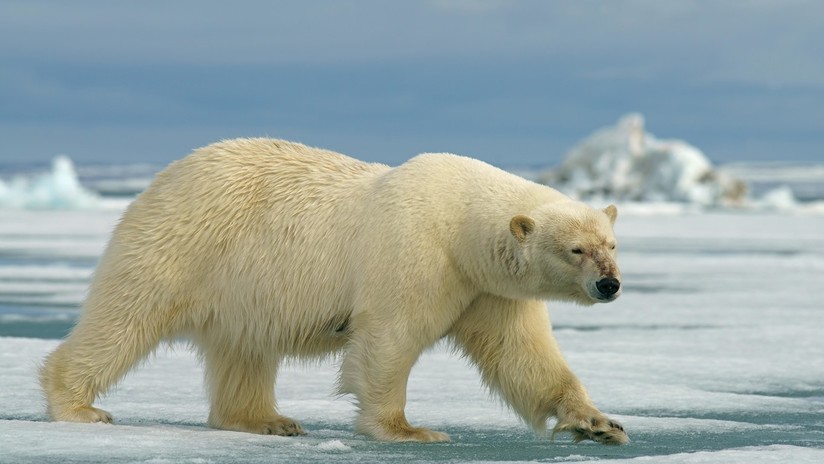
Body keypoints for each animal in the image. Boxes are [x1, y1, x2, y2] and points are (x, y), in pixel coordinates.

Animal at [40, 139, 624, 446]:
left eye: (611, 243)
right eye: (576, 249)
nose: (610, 284)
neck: (459, 220)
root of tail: (163, 177)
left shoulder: (485, 287)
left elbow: (522, 355)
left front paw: (599, 424)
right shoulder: (415, 254)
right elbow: (389, 339)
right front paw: (408, 430)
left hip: (241, 284)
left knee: (244, 349)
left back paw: (267, 420)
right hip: (183, 245)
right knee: (125, 317)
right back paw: (80, 407)